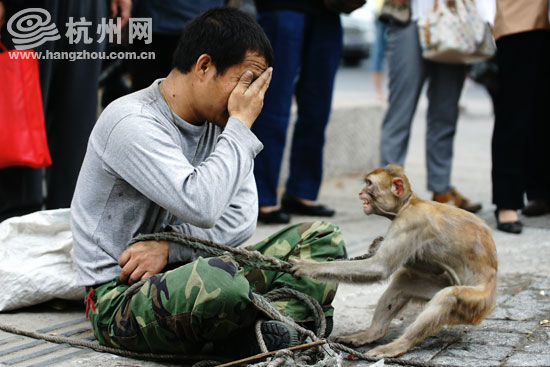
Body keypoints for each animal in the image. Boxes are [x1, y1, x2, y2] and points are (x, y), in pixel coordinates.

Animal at [294, 165, 500, 358]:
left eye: (369, 183)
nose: (360, 192)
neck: (408, 204)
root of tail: (492, 294)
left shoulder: (409, 223)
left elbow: (380, 267)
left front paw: (309, 267)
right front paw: (376, 245)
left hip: (477, 303)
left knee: (448, 297)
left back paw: (398, 345)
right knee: (404, 280)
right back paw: (373, 333)